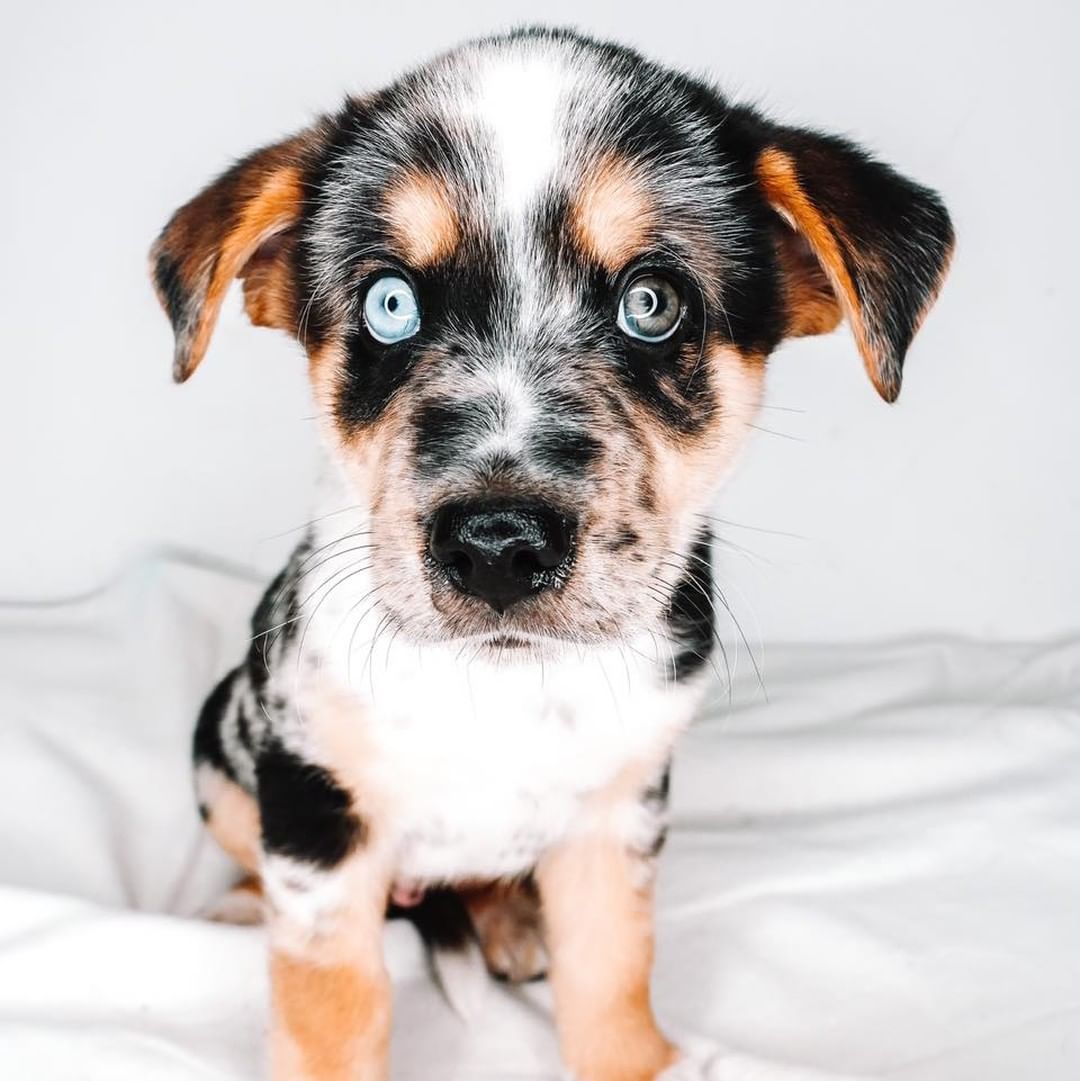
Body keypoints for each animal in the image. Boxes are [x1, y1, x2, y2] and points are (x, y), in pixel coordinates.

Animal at [152, 25, 955, 1081]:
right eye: (391, 303)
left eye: (652, 302)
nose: (496, 546)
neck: (503, 684)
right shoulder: (318, 812)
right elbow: (332, 1006)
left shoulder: (621, 811)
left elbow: (611, 970)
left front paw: (637, 1059)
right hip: (219, 749)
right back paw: (246, 905)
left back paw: (508, 924)